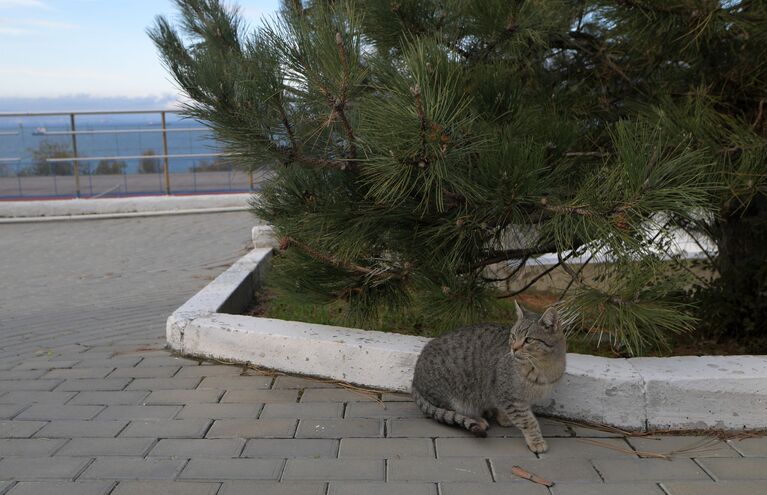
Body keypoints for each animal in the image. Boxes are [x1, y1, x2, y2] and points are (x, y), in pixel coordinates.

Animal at [412, 302, 568, 454]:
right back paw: (477, 419)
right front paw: (536, 441)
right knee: (451, 409)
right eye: (513, 336)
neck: (542, 367)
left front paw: (504, 418)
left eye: (528, 340)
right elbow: (527, 421)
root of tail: (414, 378)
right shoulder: (508, 394)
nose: (514, 348)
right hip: (452, 395)